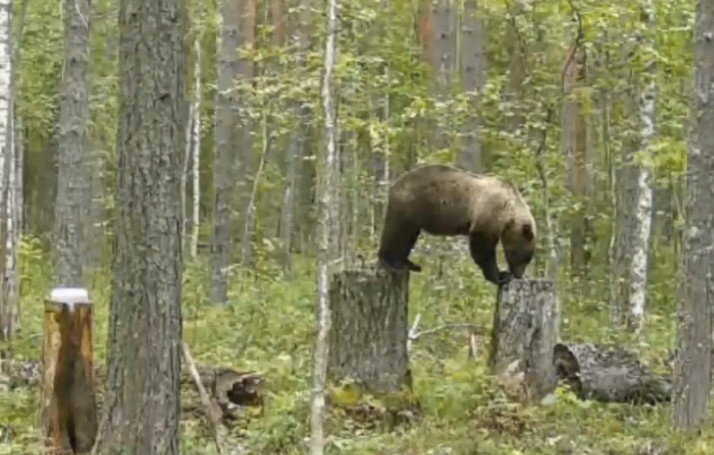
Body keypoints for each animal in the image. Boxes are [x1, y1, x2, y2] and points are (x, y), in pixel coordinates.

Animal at [377, 164, 536, 285]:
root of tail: (395, 184)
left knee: (408, 236)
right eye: (526, 257)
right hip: (411, 206)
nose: (519, 274)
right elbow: (482, 245)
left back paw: (410, 263)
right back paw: (393, 262)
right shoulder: (490, 211)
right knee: (398, 233)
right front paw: (499, 276)